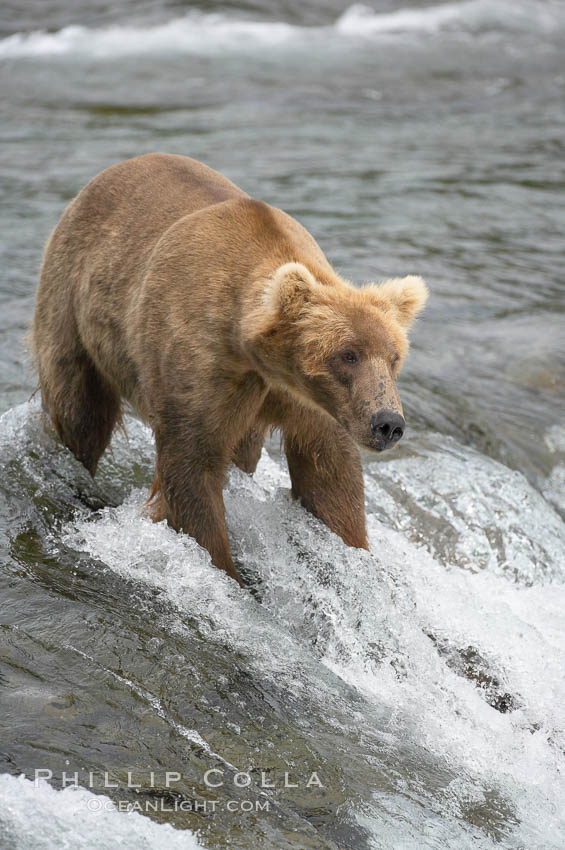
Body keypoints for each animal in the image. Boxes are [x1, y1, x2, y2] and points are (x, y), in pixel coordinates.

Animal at [29, 154, 428, 584]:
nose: (388, 423)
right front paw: (227, 572)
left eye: (394, 357)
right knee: (81, 411)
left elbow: (329, 472)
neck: (255, 355)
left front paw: (350, 547)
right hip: (72, 302)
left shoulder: (303, 401)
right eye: (348, 354)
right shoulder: (203, 366)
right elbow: (192, 468)